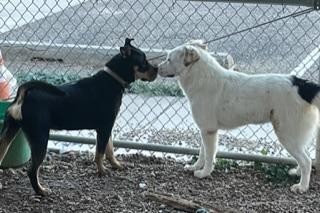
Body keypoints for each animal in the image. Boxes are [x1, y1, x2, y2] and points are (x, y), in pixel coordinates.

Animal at [0, 38, 158, 195]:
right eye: (144, 62)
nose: (157, 68)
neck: (113, 78)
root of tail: (23, 96)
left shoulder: (107, 128)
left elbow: (110, 149)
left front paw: (116, 165)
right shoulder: (104, 127)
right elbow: (100, 152)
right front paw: (102, 171)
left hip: (10, 130)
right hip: (40, 138)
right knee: (32, 171)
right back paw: (41, 191)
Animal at [158, 39, 320, 193]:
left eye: (168, 59)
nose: (156, 68)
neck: (200, 77)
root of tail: (301, 84)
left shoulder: (209, 131)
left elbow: (209, 155)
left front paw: (204, 173)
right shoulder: (204, 130)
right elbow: (202, 152)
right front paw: (195, 167)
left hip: (287, 135)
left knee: (306, 161)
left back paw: (302, 187)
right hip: (295, 136)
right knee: (305, 157)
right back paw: (297, 173)